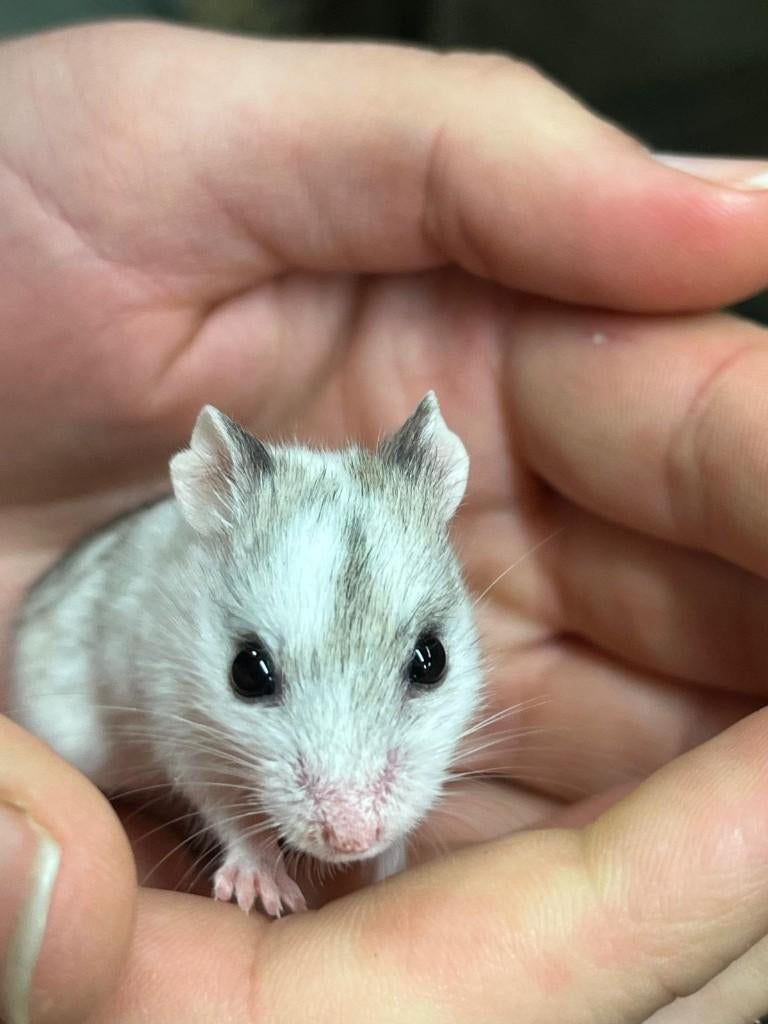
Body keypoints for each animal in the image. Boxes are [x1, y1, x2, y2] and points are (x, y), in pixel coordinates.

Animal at [9, 392, 483, 916]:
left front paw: (387, 867)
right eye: (248, 673)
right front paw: (265, 893)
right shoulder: (183, 733)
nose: (351, 842)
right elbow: (233, 813)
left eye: (432, 660)